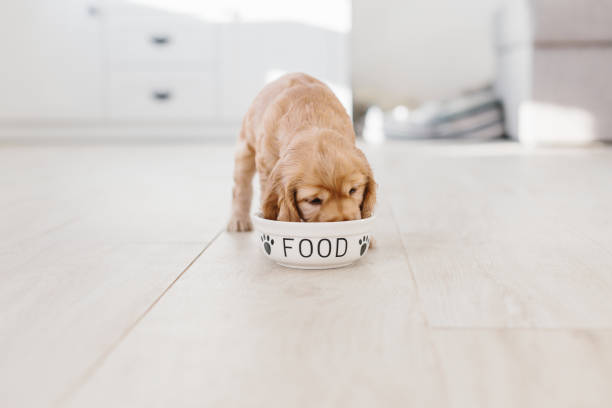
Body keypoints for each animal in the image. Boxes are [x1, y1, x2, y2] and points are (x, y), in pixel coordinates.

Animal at [227, 72, 376, 231]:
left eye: (353, 190)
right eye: (314, 200)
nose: (344, 222)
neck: (312, 119)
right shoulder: (266, 169)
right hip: (245, 149)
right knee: (240, 188)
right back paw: (238, 220)